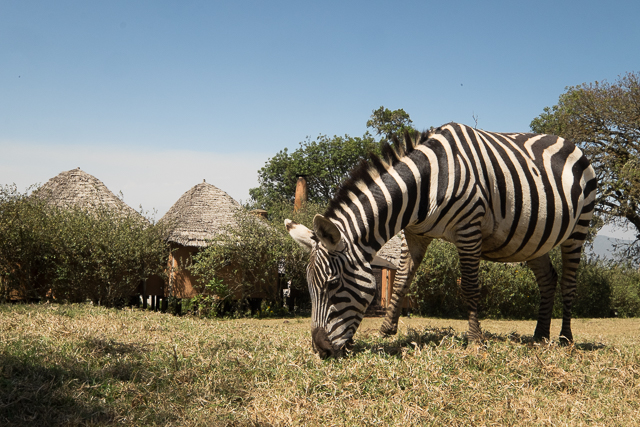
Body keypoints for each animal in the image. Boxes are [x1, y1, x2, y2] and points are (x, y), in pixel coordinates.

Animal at [288, 123, 596, 358]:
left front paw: (475, 340)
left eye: (332, 284)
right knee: (548, 279)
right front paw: (387, 329)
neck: (427, 182)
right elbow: (401, 281)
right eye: (309, 287)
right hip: (532, 239)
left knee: (568, 283)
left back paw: (565, 339)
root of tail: (566, 140)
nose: (321, 350)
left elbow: (469, 287)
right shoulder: (414, 234)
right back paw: (540, 336)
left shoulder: (468, 228)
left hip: (578, 228)